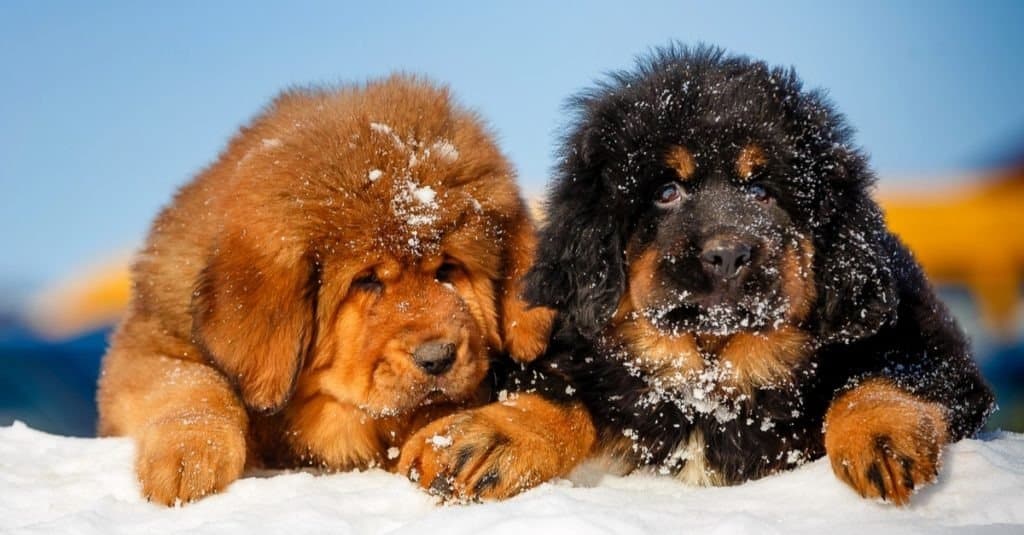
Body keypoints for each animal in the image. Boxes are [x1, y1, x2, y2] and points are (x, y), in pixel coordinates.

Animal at [96, 75, 557, 504]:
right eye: (367, 281)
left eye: (448, 270)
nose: (438, 357)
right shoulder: (150, 342)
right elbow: (193, 383)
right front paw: (190, 456)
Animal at [397, 45, 991, 504]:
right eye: (666, 191)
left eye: (762, 191)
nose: (727, 254)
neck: (709, 378)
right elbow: (563, 389)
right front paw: (492, 435)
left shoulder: (924, 343)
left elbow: (880, 375)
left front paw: (880, 434)